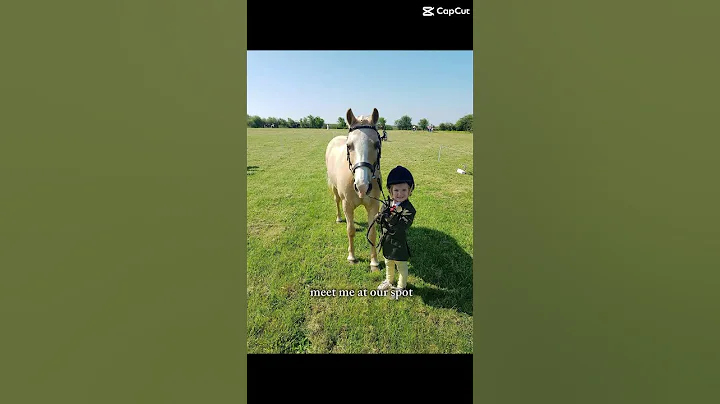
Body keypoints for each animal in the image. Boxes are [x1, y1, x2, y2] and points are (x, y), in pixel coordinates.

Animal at [325, 108, 383, 269]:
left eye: (377, 144)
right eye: (349, 146)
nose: (362, 186)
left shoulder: (373, 206)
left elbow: (372, 234)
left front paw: (374, 262)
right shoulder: (347, 204)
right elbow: (350, 231)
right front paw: (351, 257)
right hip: (335, 189)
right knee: (336, 201)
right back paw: (339, 218)